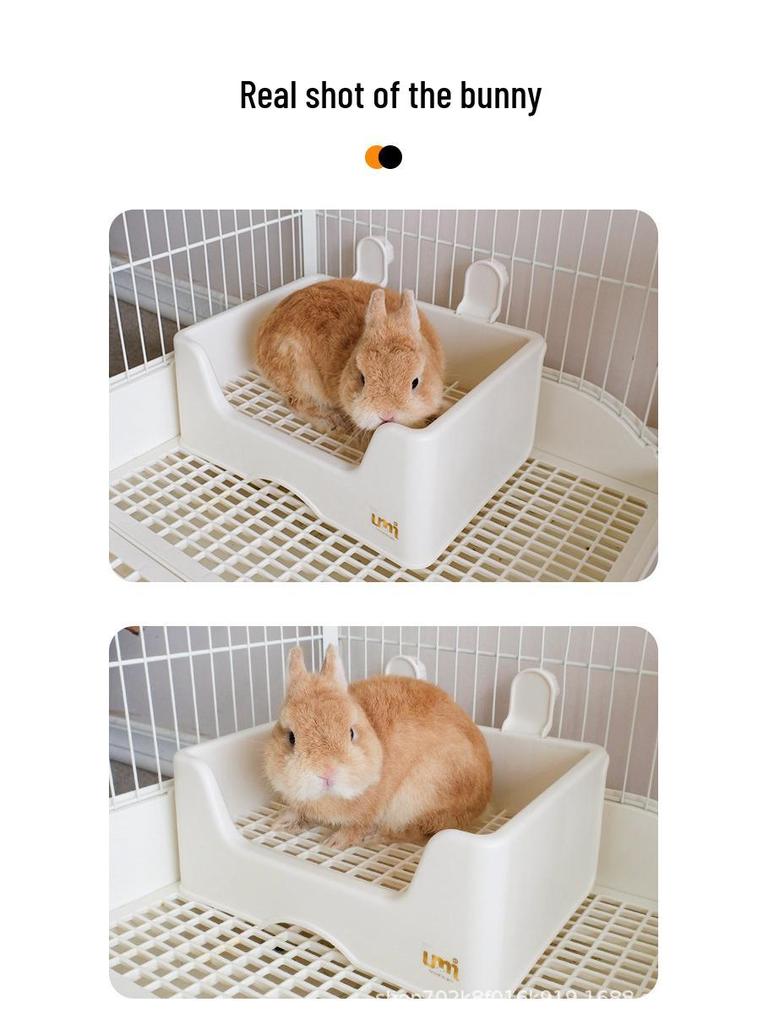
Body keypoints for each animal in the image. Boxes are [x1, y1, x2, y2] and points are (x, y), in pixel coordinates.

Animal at [252, 279, 446, 437]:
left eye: (415, 382)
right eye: (362, 378)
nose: (386, 414)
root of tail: (260, 342)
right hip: (299, 373)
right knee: (297, 403)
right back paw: (332, 422)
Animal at [263, 645, 493, 850]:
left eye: (351, 733)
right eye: (291, 738)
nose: (327, 772)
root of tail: (482, 802)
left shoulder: (371, 811)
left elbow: (359, 825)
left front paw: (336, 841)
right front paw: (282, 821)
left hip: (423, 795)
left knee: (418, 832)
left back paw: (377, 837)